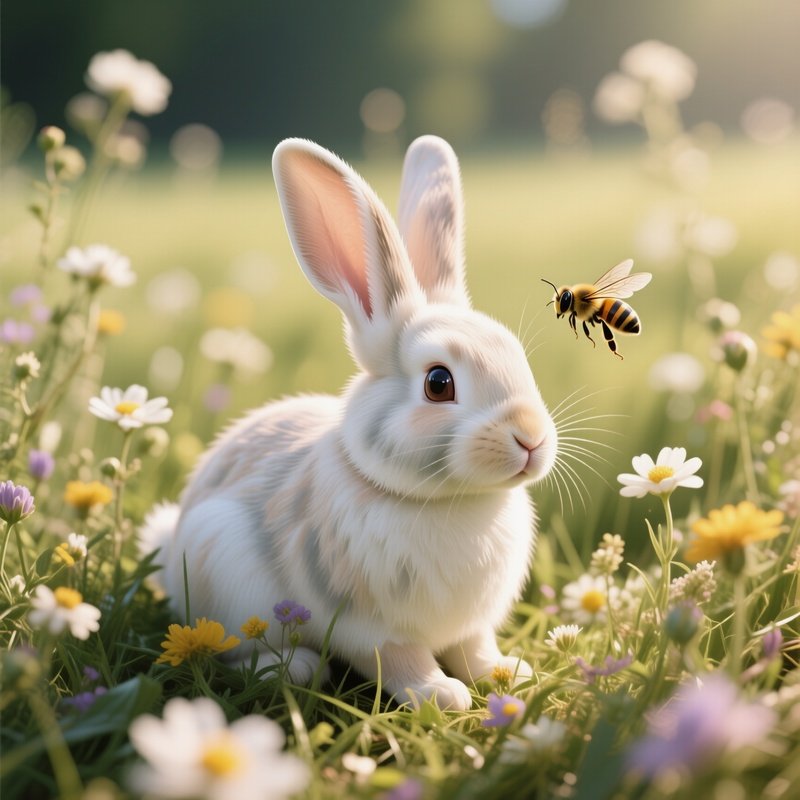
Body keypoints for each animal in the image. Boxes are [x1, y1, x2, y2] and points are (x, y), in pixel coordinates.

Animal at [140, 135, 558, 710]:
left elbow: (475, 648)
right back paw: (291, 668)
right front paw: (442, 695)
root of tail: (173, 535)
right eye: (439, 383)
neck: (446, 502)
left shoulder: (473, 625)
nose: (531, 438)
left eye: (519, 358)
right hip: (220, 569)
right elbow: (401, 659)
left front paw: (509, 674)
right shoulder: (370, 625)